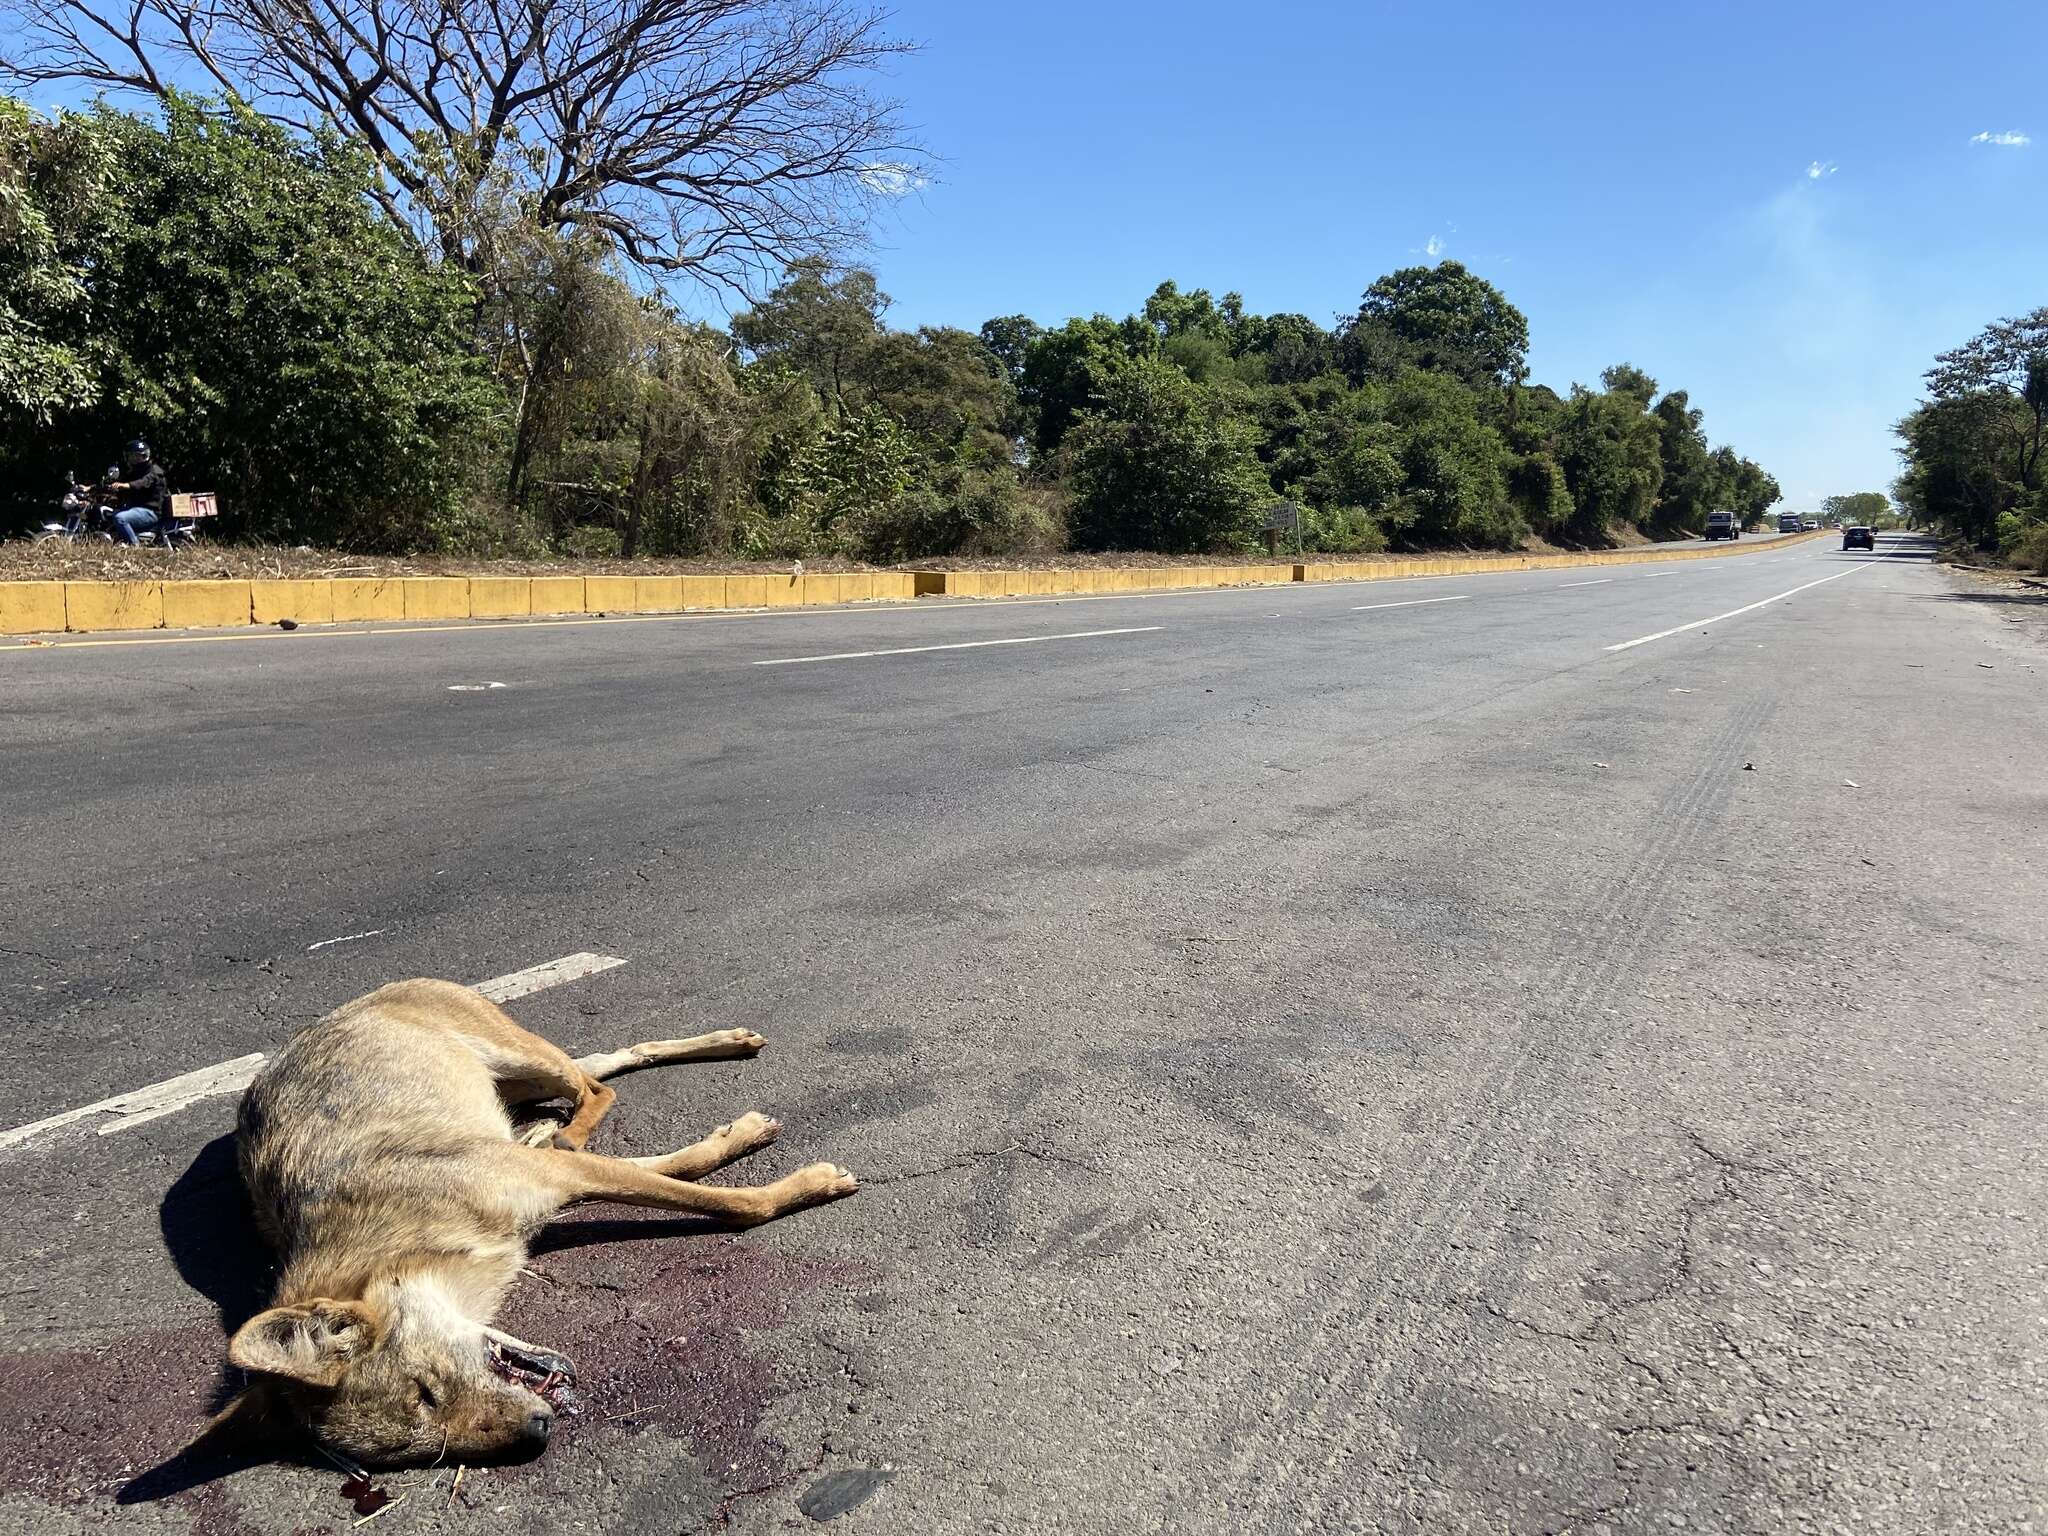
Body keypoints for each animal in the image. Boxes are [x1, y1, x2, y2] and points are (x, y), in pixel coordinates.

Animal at [176, 978, 847, 1474]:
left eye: (425, 1391)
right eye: (416, 1452)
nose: (539, 1432)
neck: (413, 1235)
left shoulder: (556, 1174)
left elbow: (732, 1202)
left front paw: (806, 1181)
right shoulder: (555, 1181)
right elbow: (683, 1166)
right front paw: (743, 1138)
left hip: (526, 1060)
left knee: (593, 1085)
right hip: (520, 1080)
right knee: (612, 1060)